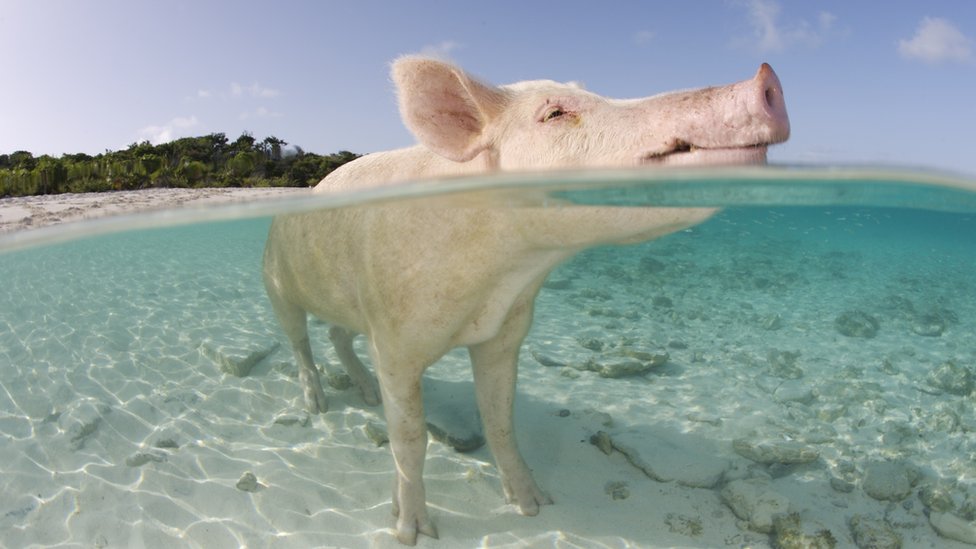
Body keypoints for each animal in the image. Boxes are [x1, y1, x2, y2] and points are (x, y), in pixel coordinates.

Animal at [262, 56, 789, 544]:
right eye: (554, 113)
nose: (766, 78)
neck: (504, 278)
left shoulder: (505, 332)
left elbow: (501, 422)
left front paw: (534, 506)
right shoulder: (394, 341)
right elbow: (409, 441)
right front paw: (413, 533)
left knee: (337, 334)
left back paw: (365, 393)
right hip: (276, 281)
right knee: (300, 341)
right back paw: (318, 405)